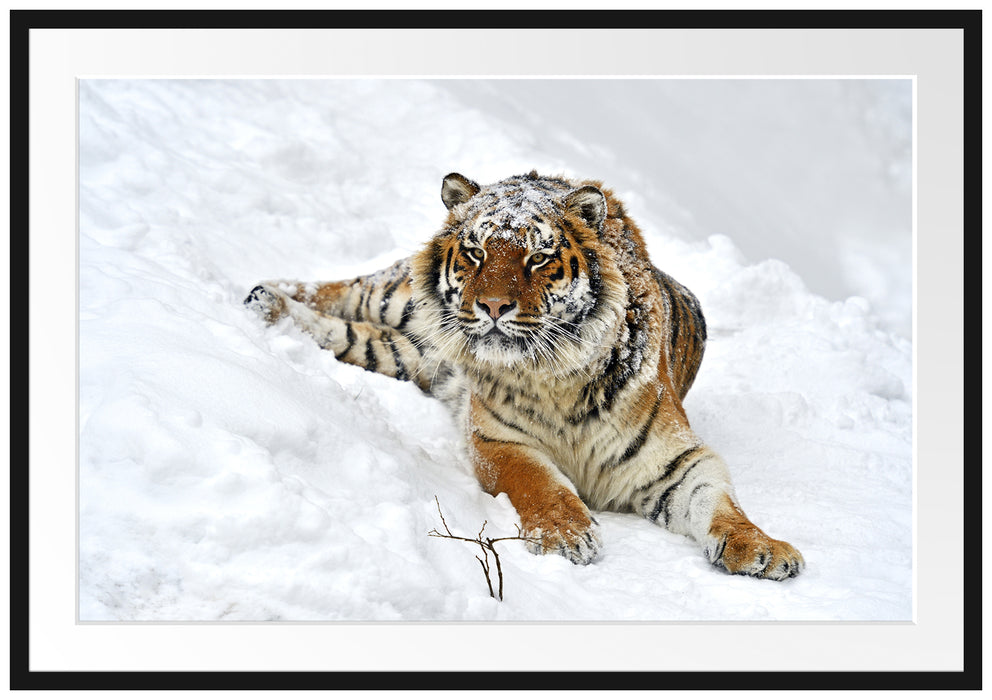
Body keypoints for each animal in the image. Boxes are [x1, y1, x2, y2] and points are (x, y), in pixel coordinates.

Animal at [244, 171, 805, 580]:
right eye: (475, 252)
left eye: (538, 258)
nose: (492, 306)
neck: (555, 378)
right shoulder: (496, 441)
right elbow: (540, 482)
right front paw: (566, 535)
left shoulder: (676, 458)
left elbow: (720, 501)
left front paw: (763, 549)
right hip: (395, 297)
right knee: (342, 289)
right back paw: (259, 293)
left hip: (407, 352)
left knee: (347, 332)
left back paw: (270, 307)